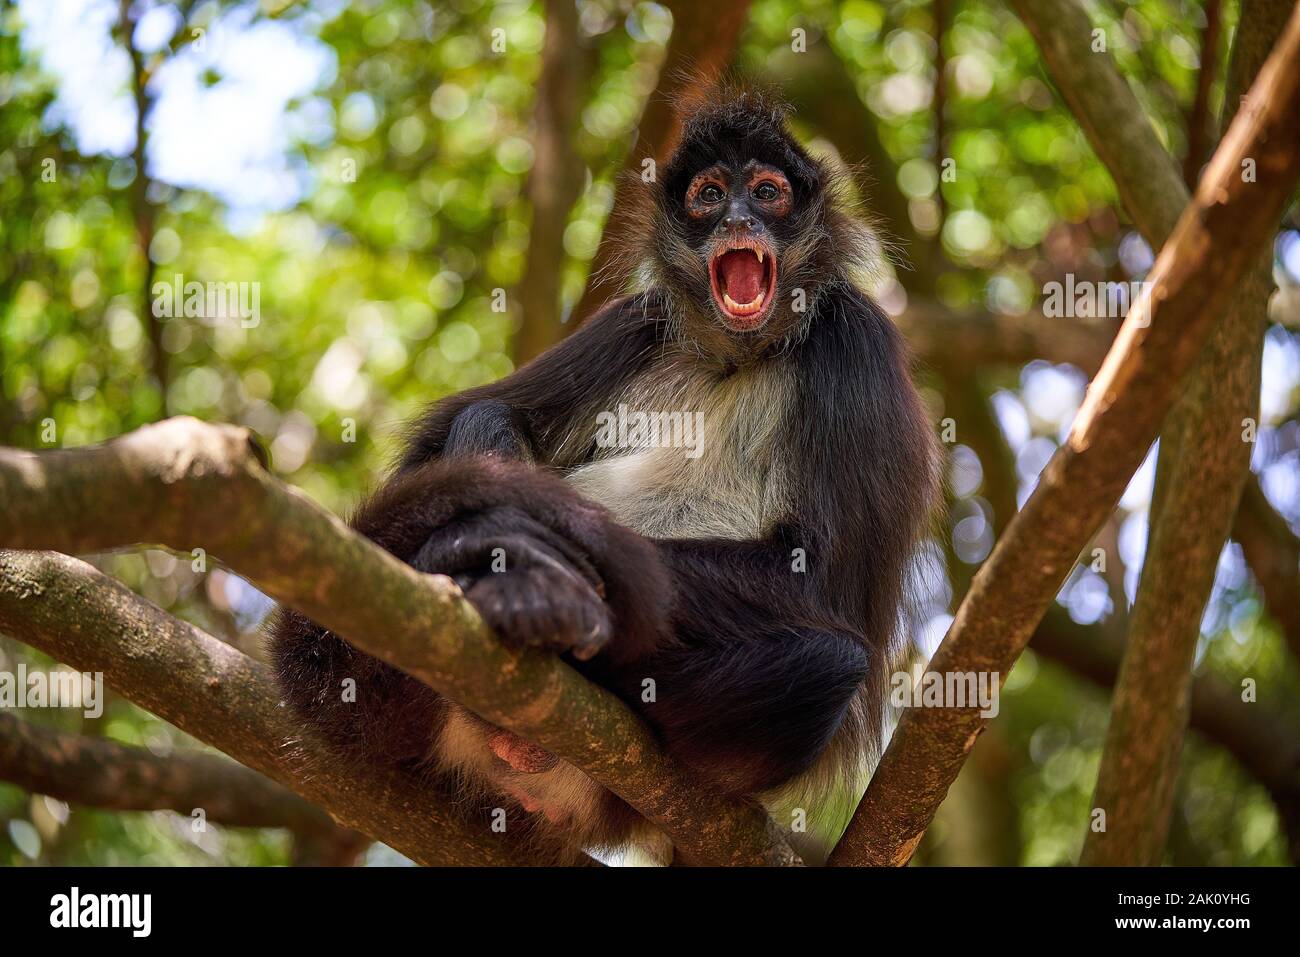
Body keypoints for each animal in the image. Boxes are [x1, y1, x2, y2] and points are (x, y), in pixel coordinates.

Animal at [266, 85, 935, 863]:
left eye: (768, 193)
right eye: (711, 197)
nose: (738, 220)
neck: (737, 356)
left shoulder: (855, 336)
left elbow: (827, 586)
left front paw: (549, 578)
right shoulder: (638, 321)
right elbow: (455, 434)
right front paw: (486, 552)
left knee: (829, 663)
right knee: (485, 425)